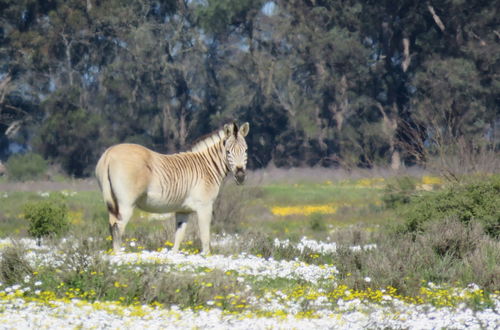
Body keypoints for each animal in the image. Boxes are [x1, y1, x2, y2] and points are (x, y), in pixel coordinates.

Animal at [94, 122, 250, 254]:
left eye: (246, 150)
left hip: (112, 203)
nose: (241, 176)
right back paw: (119, 257)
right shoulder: (205, 206)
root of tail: (109, 153)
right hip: (126, 204)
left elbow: (178, 237)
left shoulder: (183, 210)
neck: (207, 168)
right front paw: (207, 259)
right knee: (118, 227)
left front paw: (174, 258)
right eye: (228, 152)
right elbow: (205, 237)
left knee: (112, 226)